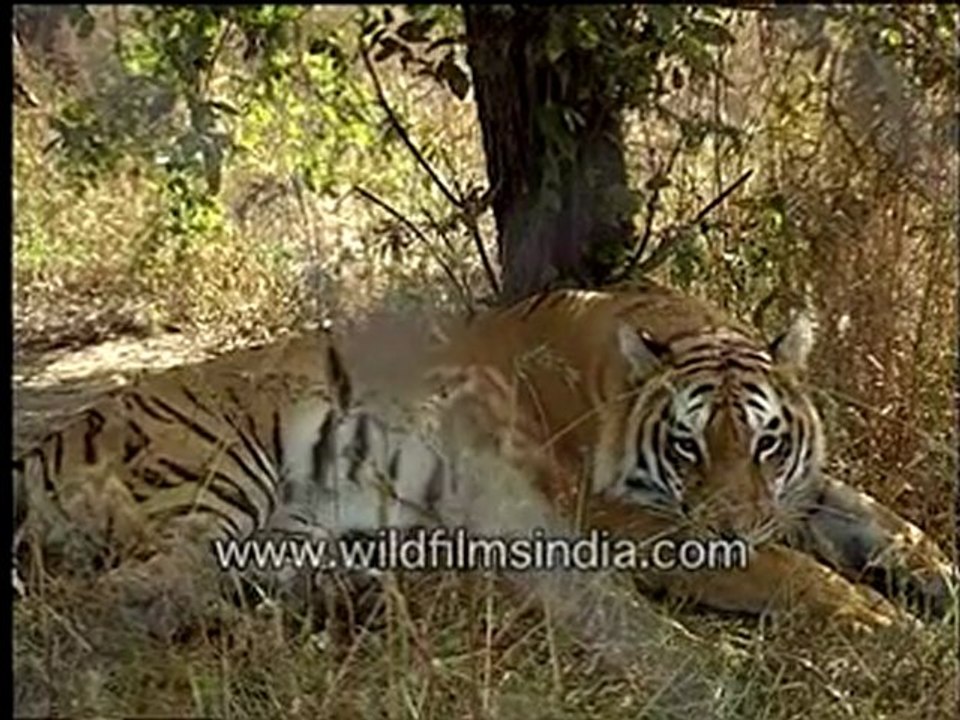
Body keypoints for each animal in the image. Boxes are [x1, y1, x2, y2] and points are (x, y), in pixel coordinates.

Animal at [426, 281, 957, 631]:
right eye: (687, 445)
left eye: (766, 443)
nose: (733, 531)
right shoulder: (618, 517)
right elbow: (785, 568)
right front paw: (883, 619)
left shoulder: (800, 492)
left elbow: (895, 529)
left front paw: (944, 584)